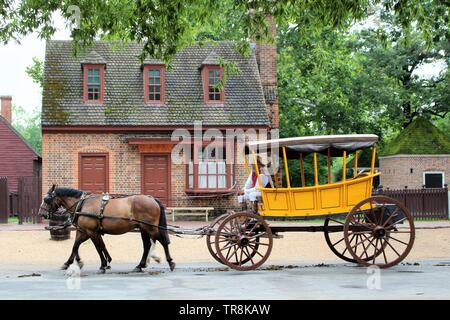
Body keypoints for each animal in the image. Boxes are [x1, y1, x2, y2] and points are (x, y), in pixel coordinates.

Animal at [37, 185, 175, 272]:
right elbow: (76, 246)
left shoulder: (91, 231)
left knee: (162, 241)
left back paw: (169, 262)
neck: (82, 204)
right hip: (143, 228)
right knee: (147, 245)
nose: (40, 213)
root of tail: (152, 198)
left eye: (46, 199)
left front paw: (103, 265)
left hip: (150, 227)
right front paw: (70, 263)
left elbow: (98, 248)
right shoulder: (84, 231)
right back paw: (140, 265)